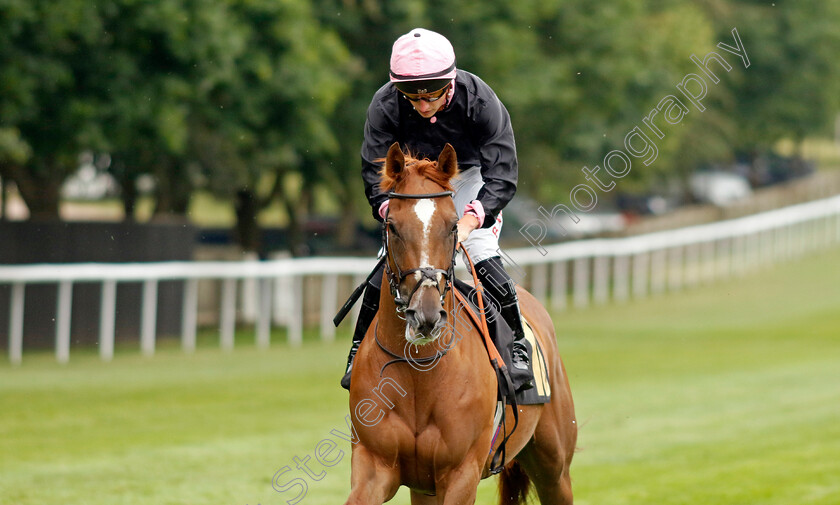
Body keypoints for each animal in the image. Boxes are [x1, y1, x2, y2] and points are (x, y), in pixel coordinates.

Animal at [344, 142, 576, 504]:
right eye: (392, 225)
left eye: (453, 225)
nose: (425, 316)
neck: (419, 373)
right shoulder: (374, 466)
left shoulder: (461, 472)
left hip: (554, 465)